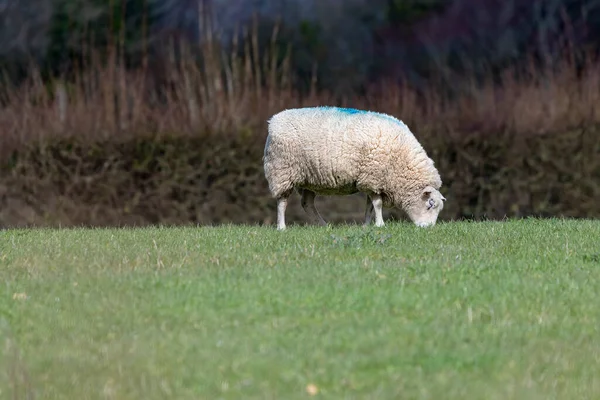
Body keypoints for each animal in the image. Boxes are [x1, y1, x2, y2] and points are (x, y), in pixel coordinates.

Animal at [264, 106, 446, 230]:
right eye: (430, 204)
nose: (428, 229)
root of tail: (273, 121)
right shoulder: (373, 177)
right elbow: (377, 204)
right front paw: (380, 225)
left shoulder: (373, 182)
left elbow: (370, 207)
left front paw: (367, 226)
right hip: (282, 171)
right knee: (282, 201)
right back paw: (282, 227)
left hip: (309, 178)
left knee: (307, 204)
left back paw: (324, 225)